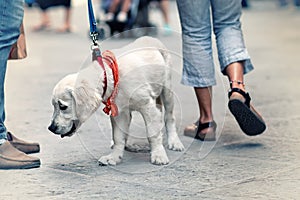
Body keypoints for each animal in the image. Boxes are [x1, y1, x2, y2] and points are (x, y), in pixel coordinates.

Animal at [49, 36, 184, 166]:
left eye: (62, 106)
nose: (51, 128)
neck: (111, 76)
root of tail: (152, 38)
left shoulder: (147, 106)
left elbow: (153, 133)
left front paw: (158, 155)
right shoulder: (119, 112)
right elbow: (118, 136)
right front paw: (114, 157)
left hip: (167, 90)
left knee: (169, 117)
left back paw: (174, 142)